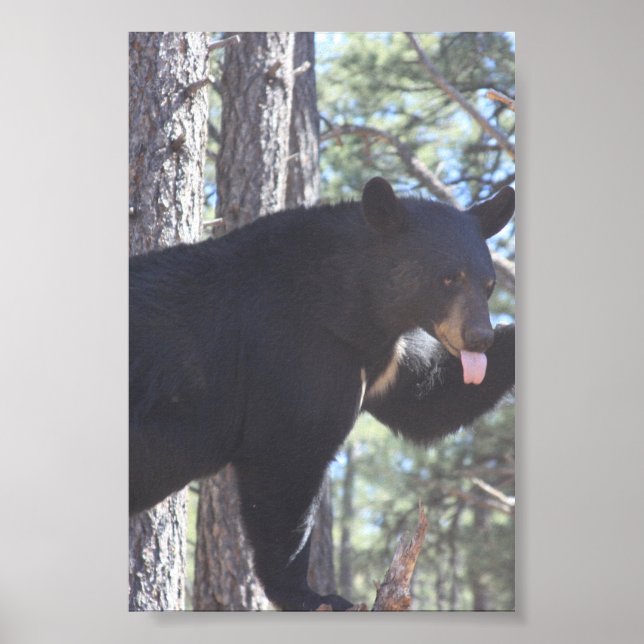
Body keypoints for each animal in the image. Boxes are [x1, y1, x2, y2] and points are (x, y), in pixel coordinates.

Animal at [129, 177, 515, 611]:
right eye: (448, 277)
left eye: (489, 284)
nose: (479, 338)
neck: (351, 304)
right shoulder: (295, 352)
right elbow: (286, 461)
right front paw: (312, 594)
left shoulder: (382, 359)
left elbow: (427, 402)